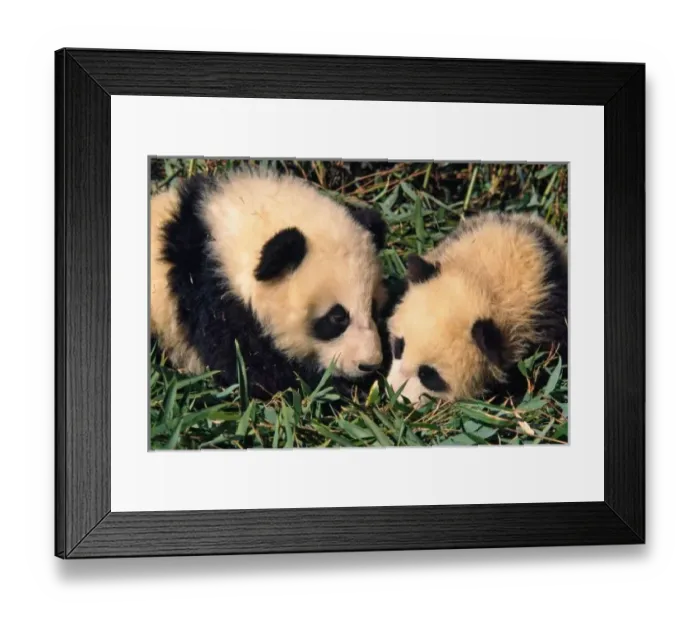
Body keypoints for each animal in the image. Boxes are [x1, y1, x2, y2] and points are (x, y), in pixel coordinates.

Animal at [149, 168, 391, 401]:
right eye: (337, 317)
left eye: (374, 308)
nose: (369, 364)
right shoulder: (208, 293)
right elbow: (250, 366)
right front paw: (340, 388)